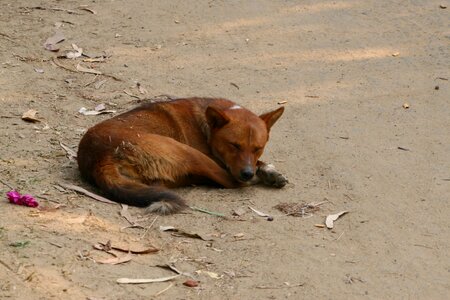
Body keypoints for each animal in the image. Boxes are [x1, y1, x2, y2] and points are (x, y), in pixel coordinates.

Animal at [78, 98, 286, 213]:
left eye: (258, 148)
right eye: (234, 145)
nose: (247, 173)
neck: (207, 127)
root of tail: (99, 156)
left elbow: (259, 162)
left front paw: (270, 172)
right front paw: (265, 172)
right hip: (187, 152)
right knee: (230, 181)